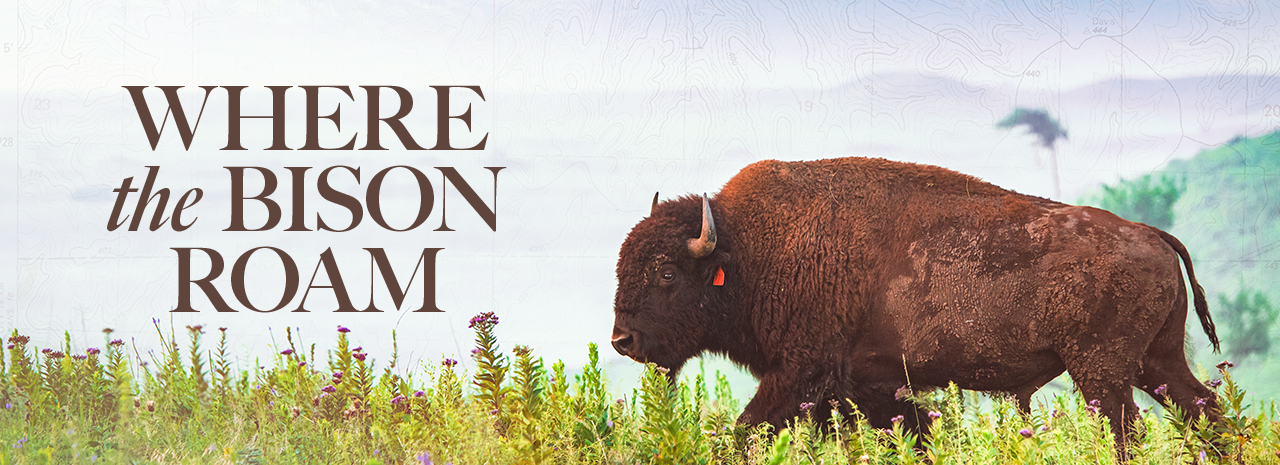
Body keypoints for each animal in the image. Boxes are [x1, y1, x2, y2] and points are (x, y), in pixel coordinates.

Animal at [609, 157, 1218, 456]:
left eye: (665, 272)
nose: (621, 340)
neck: (753, 251)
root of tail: (1151, 233)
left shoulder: (800, 374)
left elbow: (744, 430)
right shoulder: (865, 388)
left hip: (1101, 372)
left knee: (1125, 430)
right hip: (1156, 363)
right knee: (1205, 410)